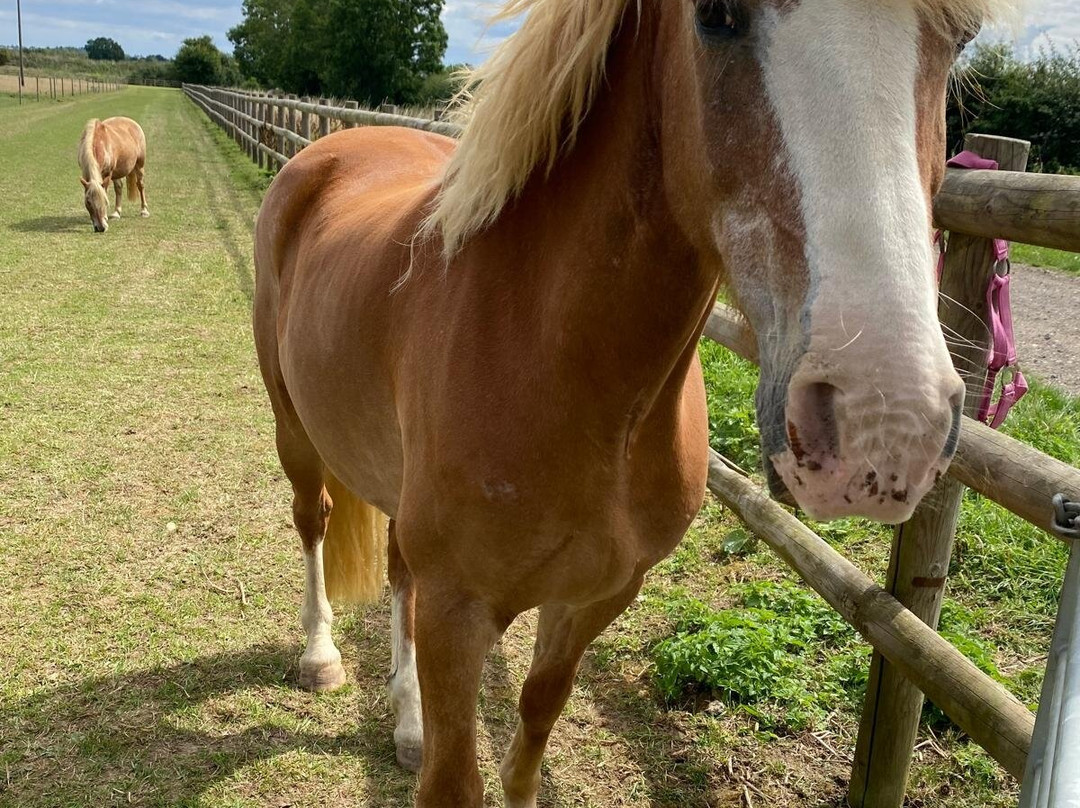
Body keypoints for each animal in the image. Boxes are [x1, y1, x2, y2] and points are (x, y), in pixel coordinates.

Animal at [252, 0, 1016, 804]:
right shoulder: (456, 614)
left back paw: (406, 723)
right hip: (294, 431)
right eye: (715, 16)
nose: (886, 422)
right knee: (313, 521)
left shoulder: (595, 599)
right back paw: (321, 657)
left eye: (961, 41)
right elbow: (456, 780)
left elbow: (533, 728)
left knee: (398, 570)